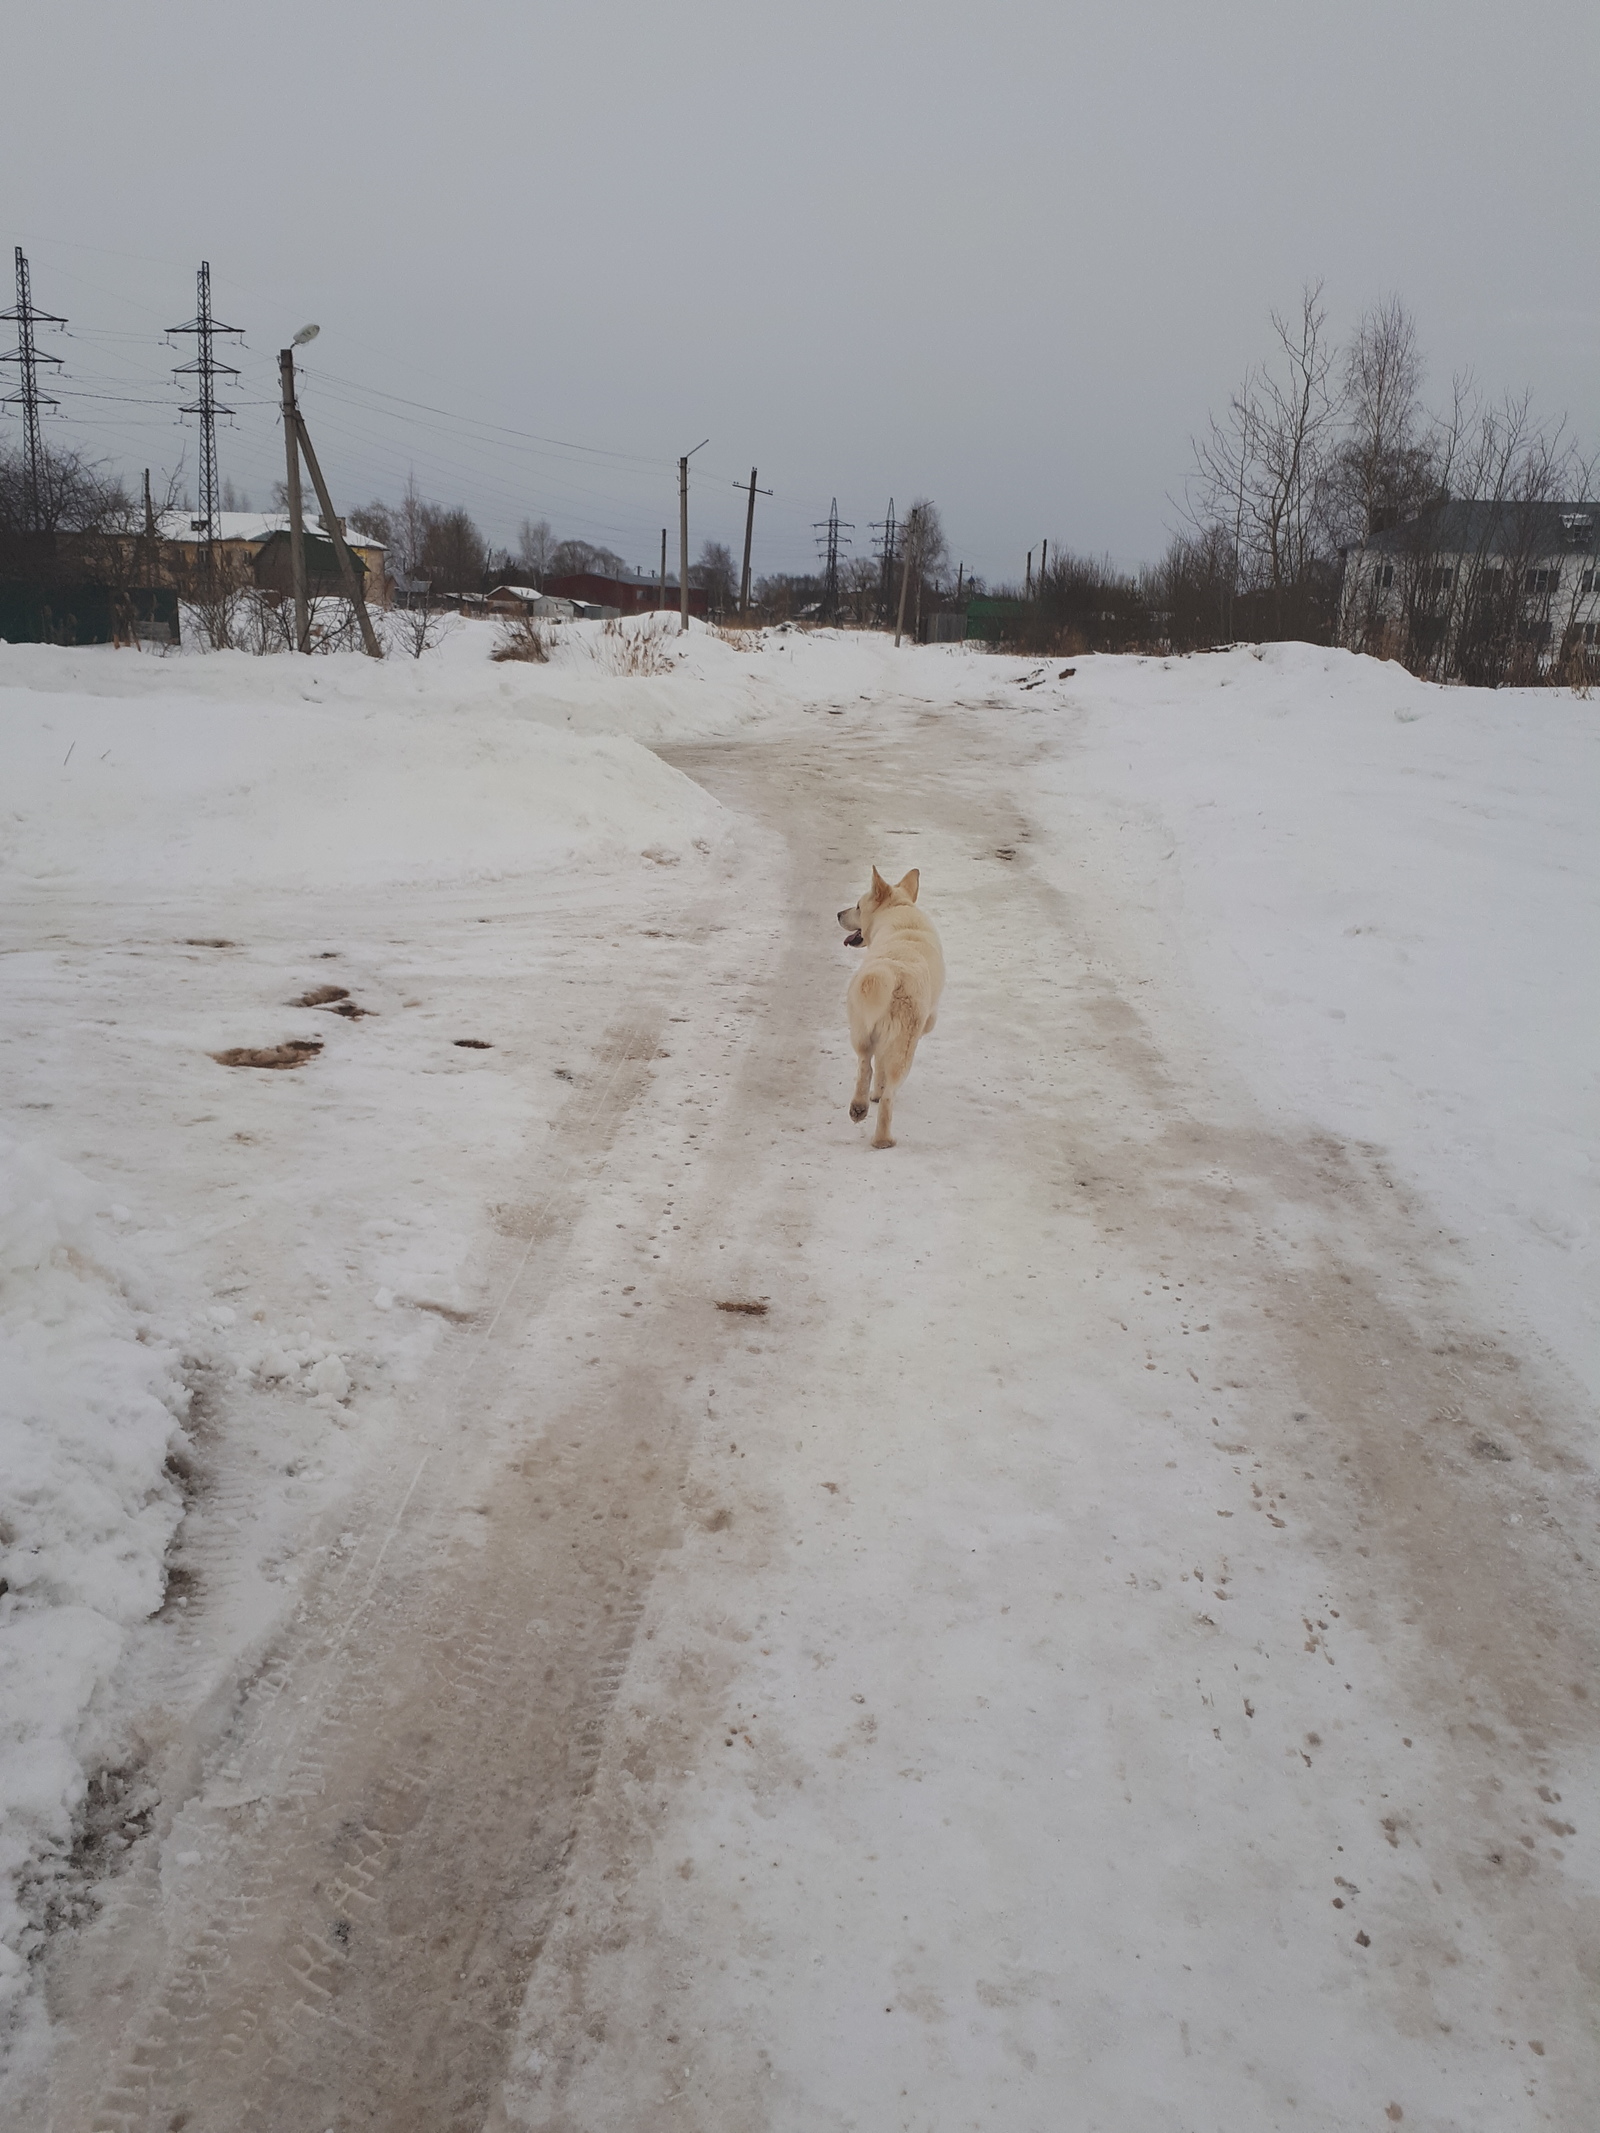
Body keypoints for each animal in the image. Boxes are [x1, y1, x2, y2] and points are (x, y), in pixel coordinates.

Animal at [832, 861, 947, 1151]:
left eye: (857, 907)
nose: (838, 913)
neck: (899, 911)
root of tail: (893, 975)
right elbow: (882, 1071)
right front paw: (877, 1091)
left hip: (860, 1029)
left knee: (865, 1064)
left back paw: (860, 1109)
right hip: (904, 1048)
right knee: (887, 1091)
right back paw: (882, 1137)